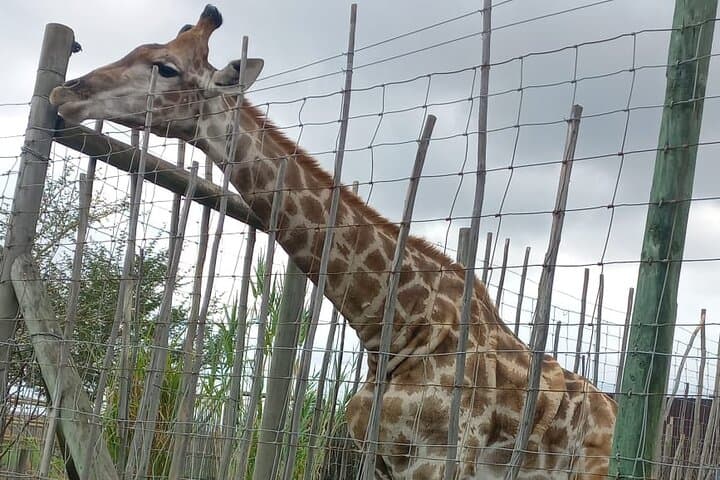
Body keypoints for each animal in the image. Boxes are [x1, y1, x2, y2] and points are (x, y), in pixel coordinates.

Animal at [50, 5, 617, 479]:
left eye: (165, 68)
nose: (65, 93)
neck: (392, 325)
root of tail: (610, 403)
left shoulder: (442, 460)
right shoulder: (381, 457)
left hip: (586, 471)